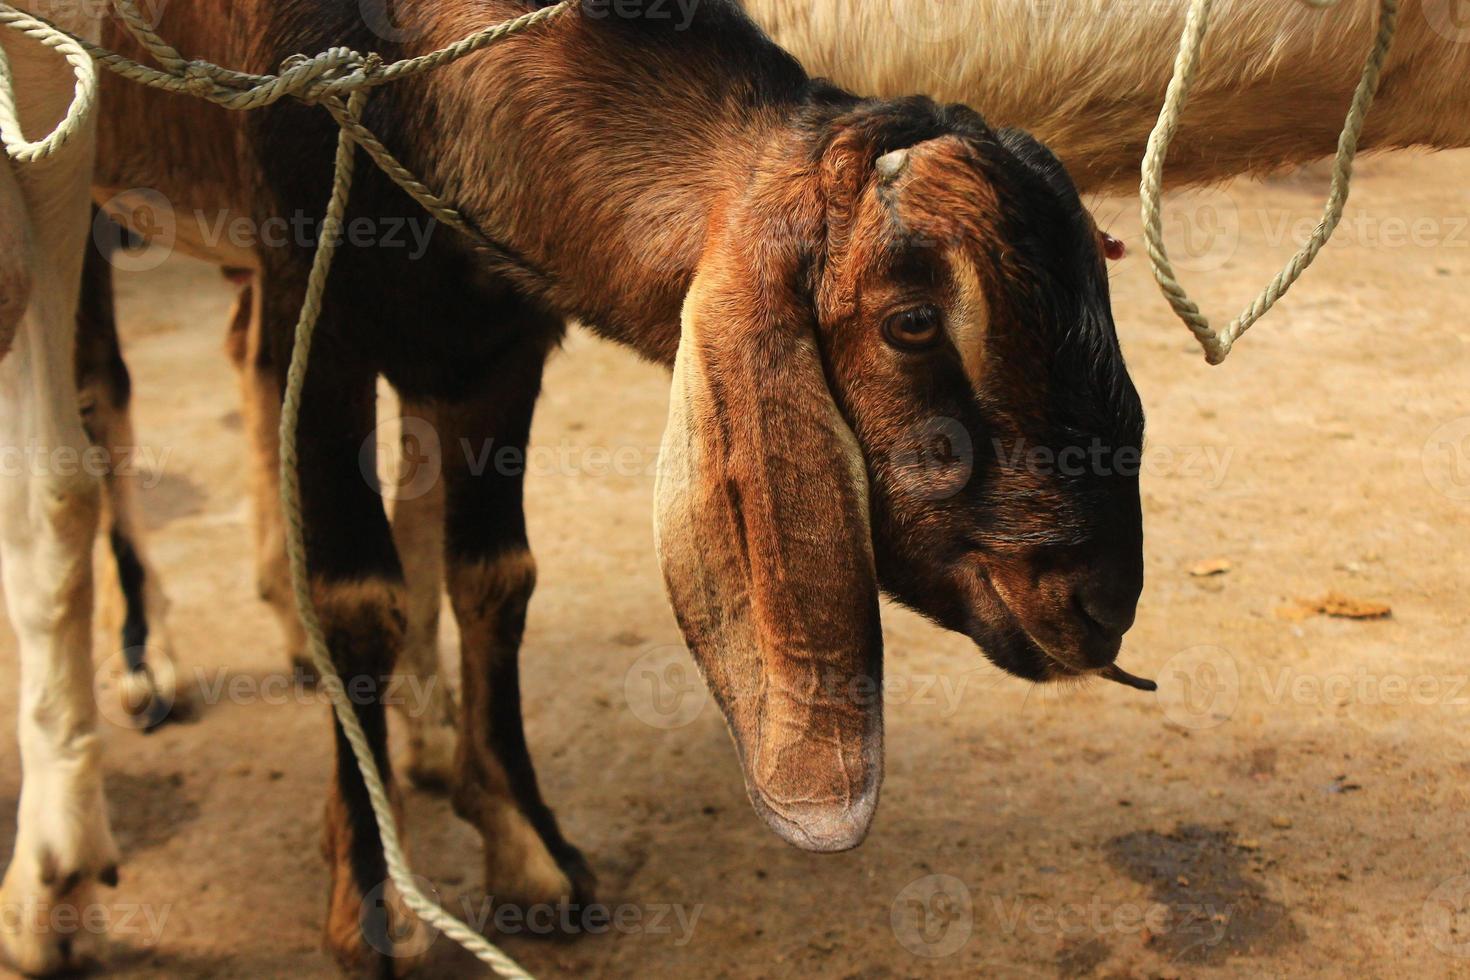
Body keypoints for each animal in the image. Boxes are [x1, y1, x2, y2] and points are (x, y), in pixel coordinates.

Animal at [88, 1, 1146, 975]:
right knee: (102, 401)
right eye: (914, 322)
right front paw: (371, 904)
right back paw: (141, 670)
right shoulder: (323, 309)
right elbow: (355, 601)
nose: (1103, 602)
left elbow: (495, 578)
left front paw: (527, 850)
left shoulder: (499, 343)